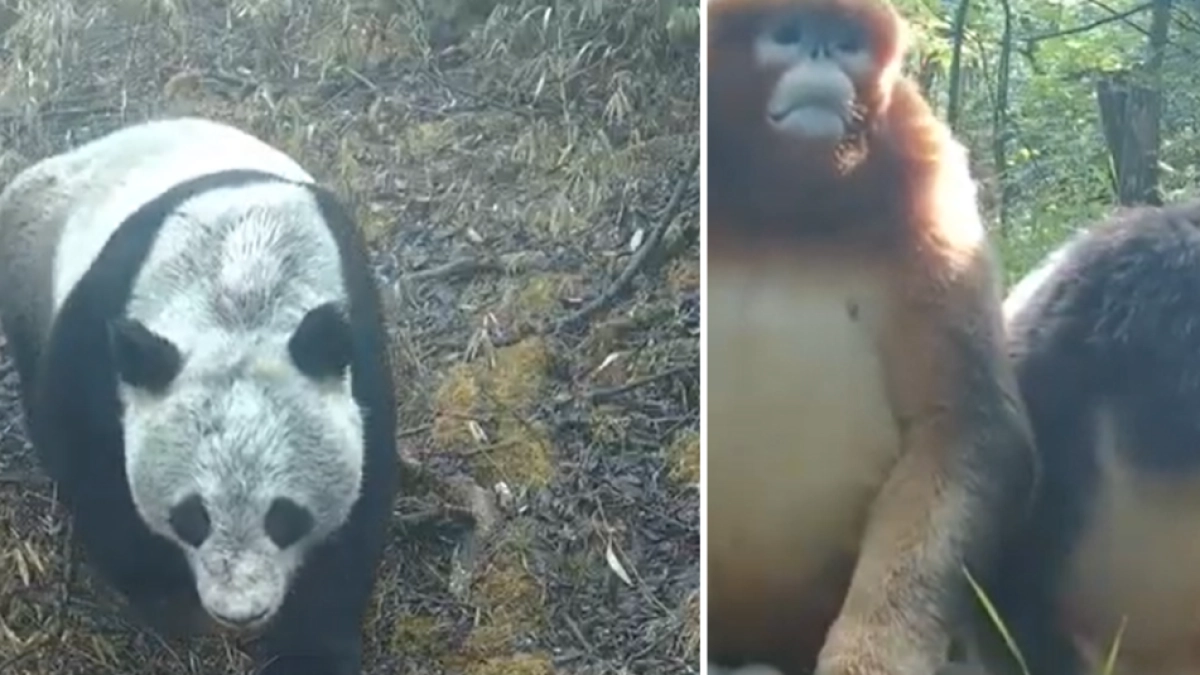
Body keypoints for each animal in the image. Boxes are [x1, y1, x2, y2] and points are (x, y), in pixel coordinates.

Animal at [0, 116, 398, 675]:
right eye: (192, 517)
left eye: (284, 517)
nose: (240, 611)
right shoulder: (96, 343)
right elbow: (87, 461)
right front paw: (167, 598)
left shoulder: (357, 355)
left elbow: (361, 503)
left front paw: (311, 648)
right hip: (29, 249)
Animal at [705, 1, 1037, 674]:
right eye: (787, 34)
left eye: (846, 42)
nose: (821, 54)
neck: (774, 214)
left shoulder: (930, 180)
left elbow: (964, 427)